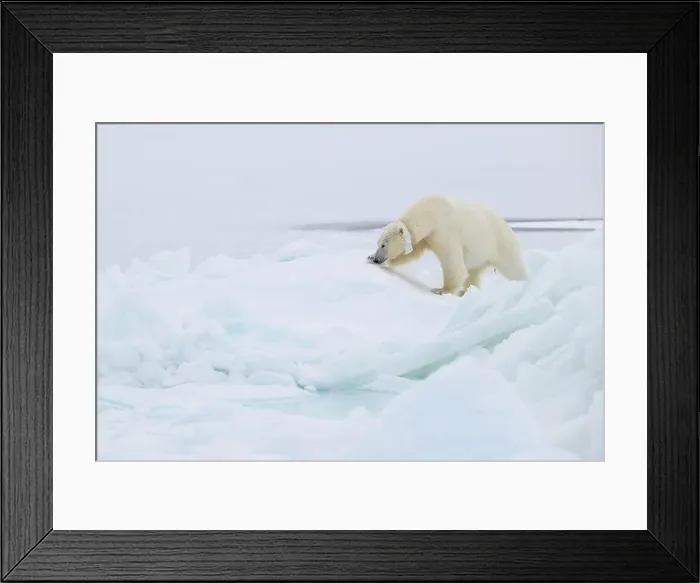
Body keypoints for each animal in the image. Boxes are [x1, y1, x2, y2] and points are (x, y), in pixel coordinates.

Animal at [367, 194, 528, 296]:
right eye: (378, 243)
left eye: (383, 245)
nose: (376, 259)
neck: (431, 212)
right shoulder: (426, 236)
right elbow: (412, 252)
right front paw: (373, 258)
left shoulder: (444, 229)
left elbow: (452, 261)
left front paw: (442, 290)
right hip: (481, 255)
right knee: (474, 273)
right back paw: (465, 292)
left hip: (501, 244)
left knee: (514, 269)